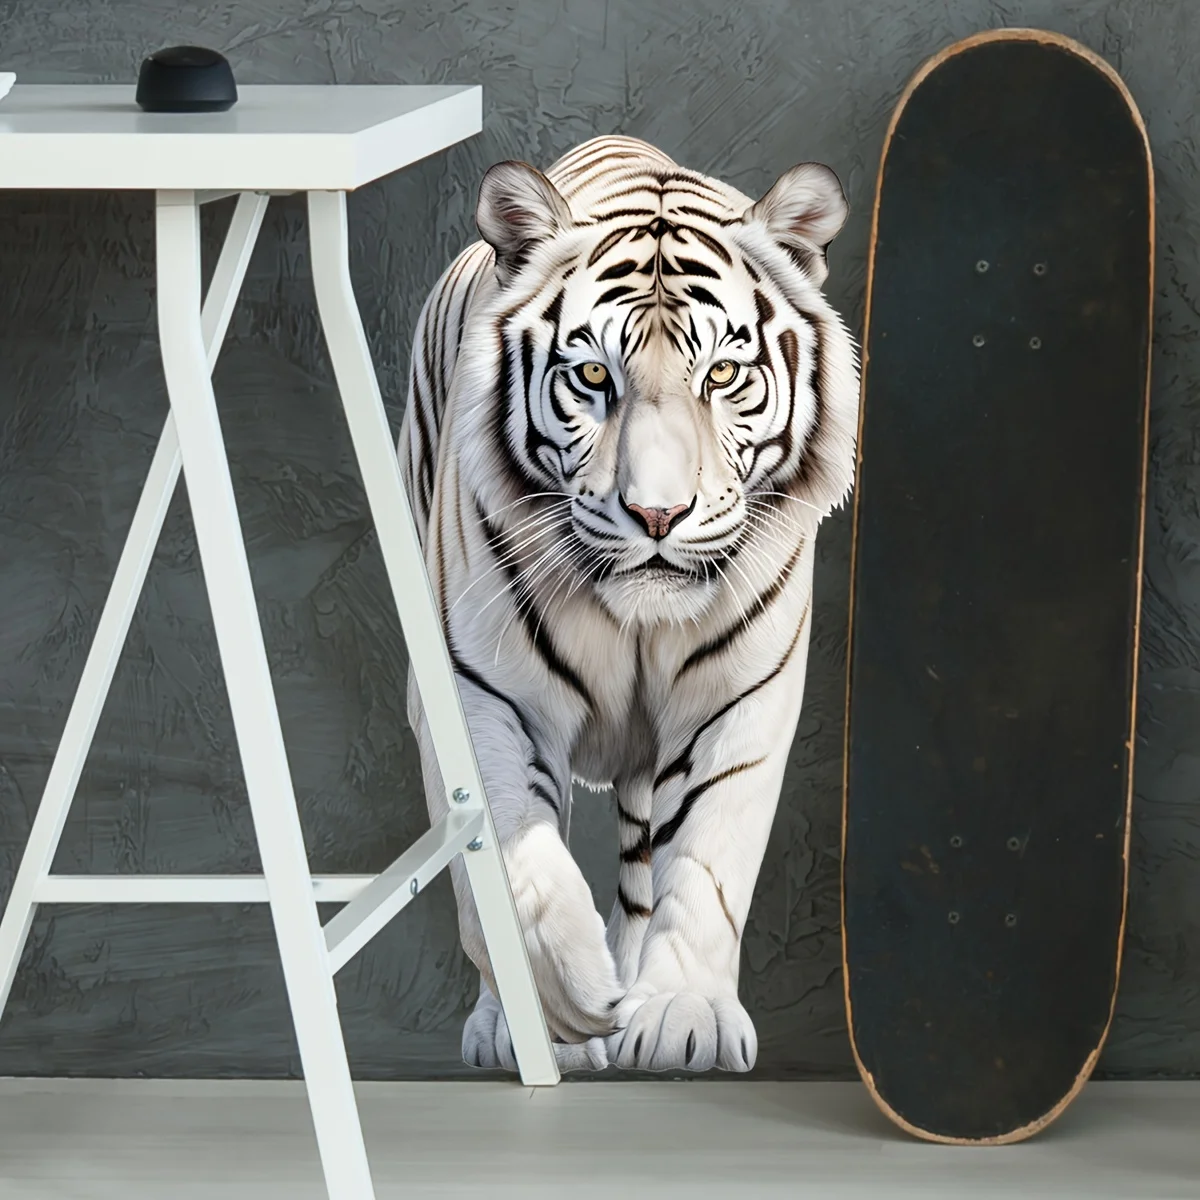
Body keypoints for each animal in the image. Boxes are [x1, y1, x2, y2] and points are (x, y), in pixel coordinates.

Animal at [396, 134, 859, 1073]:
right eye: (591, 375)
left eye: (724, 373)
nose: (657, 514)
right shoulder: (481, 693)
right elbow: (509, 847)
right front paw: (566, 997)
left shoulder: (739, 697)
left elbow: (708, 856)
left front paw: (682, 1013)